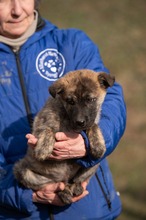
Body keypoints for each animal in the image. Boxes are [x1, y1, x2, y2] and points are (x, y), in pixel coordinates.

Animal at [13, 69, 114, 205]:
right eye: (70, 101)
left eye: (90, 100)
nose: (79, 122)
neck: (68, 119)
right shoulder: (39, 124)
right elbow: (48, 128)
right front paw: (43, 148)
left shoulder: (90, 122)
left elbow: (93, 125)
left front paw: (98, 145)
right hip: (23, 171)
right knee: (56, 185)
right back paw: (64, 192)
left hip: (94, 164)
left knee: (75, 180)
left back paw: (75, 187)